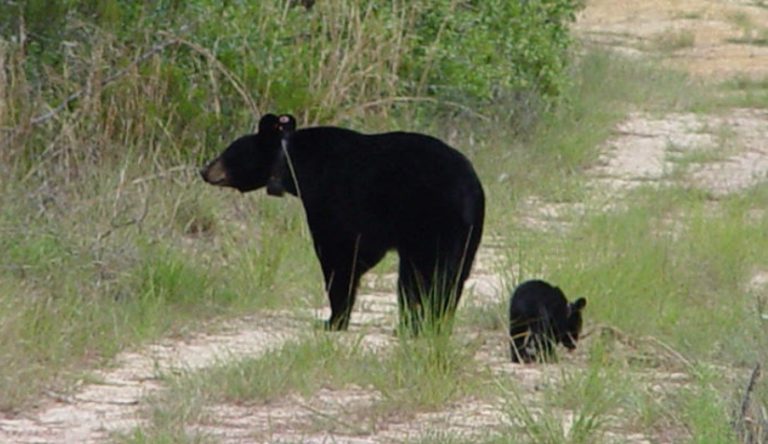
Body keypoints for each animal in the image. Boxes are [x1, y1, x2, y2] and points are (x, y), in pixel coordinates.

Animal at [200, 113, 485, 333]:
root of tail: (470, 190)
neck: (294, 164)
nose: (204, 170)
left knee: (422, 275)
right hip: (468, 235)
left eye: (228, 151)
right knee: (452, 277)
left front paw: (333, 320)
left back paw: (415, 325)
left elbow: (338, 255)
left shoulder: (332, 200)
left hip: (429, 223)